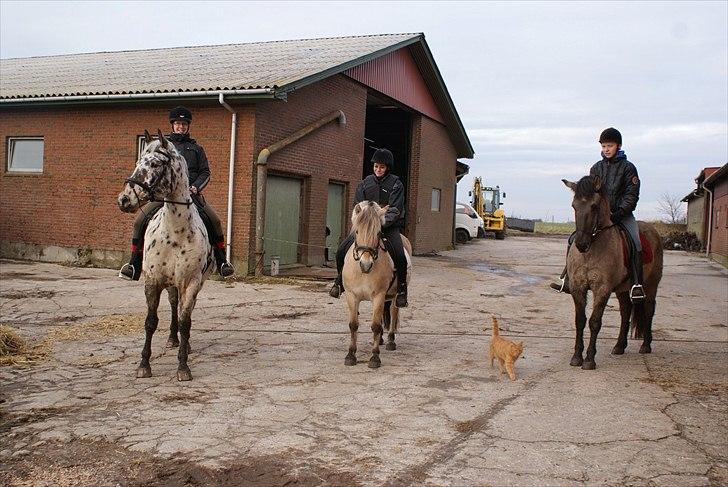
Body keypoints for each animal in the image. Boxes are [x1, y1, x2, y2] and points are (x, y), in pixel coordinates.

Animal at [116, 130, 213, 382]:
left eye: (156, 164)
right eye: (138, 162)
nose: (124, 200)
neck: (175, 232)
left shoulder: (190, 282)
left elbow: (185, 322)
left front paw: (183, 367)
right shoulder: (152, 281)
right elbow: (150, 322)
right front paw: (144, 365)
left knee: (182, 310)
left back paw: (184, 345)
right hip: (170, 284)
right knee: (172, 304)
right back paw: (172, 340)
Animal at [340, 200, 410, 368]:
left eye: (378, 233)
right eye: (357, 232)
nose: (366, 264)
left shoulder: (378, 295)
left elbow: (376, 326)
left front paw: (374, 357)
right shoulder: (351, 296)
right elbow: (353, 325)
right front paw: (350, 355)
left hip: (394, 295)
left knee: (393, 312)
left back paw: (390, 341)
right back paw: (383, 340)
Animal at [564, 175, 664, 370]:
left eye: (594, 206)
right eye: (573, 206)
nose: (581, 244)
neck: (591, 251)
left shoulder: (602, 289)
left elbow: (594, 322)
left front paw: (589, 360)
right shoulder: (577, 288)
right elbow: (580, 320)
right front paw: (576, 357)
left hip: (651, 285)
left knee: (648, 310)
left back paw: (645, 345)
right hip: (623, 290)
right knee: (625, 312)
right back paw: (619, 346)